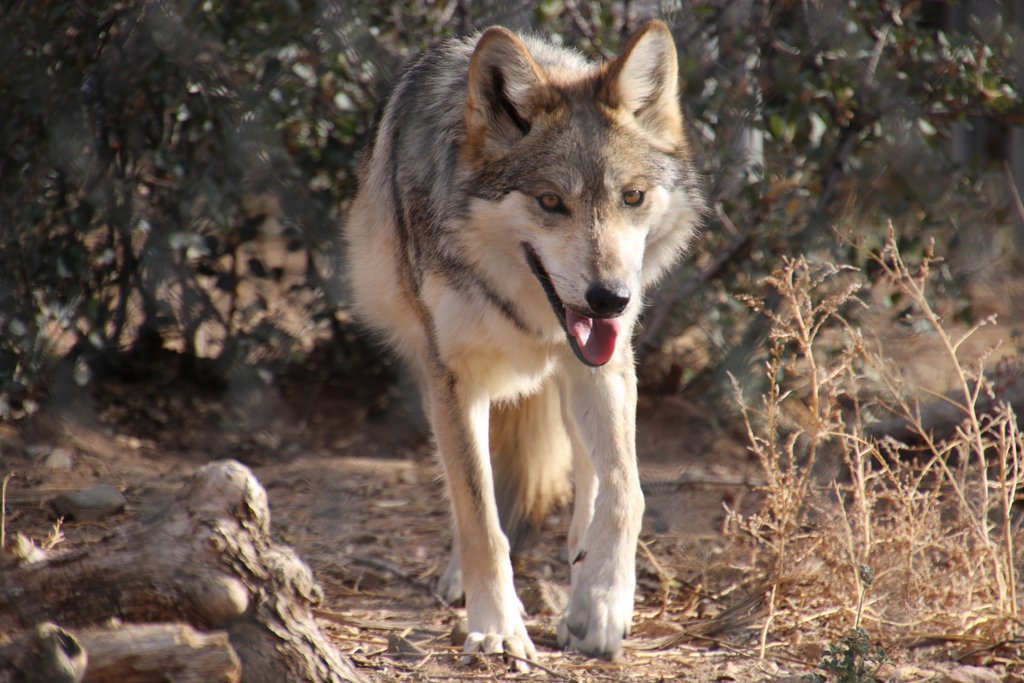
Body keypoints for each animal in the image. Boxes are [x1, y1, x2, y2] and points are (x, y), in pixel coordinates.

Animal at [344, 20, 704, 668]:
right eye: (550, 202)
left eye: (632, 197)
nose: (610, 298)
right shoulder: (454, 379)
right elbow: (481, 518)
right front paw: (498, 629)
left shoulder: (603, 360)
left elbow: (626, 490)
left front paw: (602, 604)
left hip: (584, 374)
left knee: (590, 477)